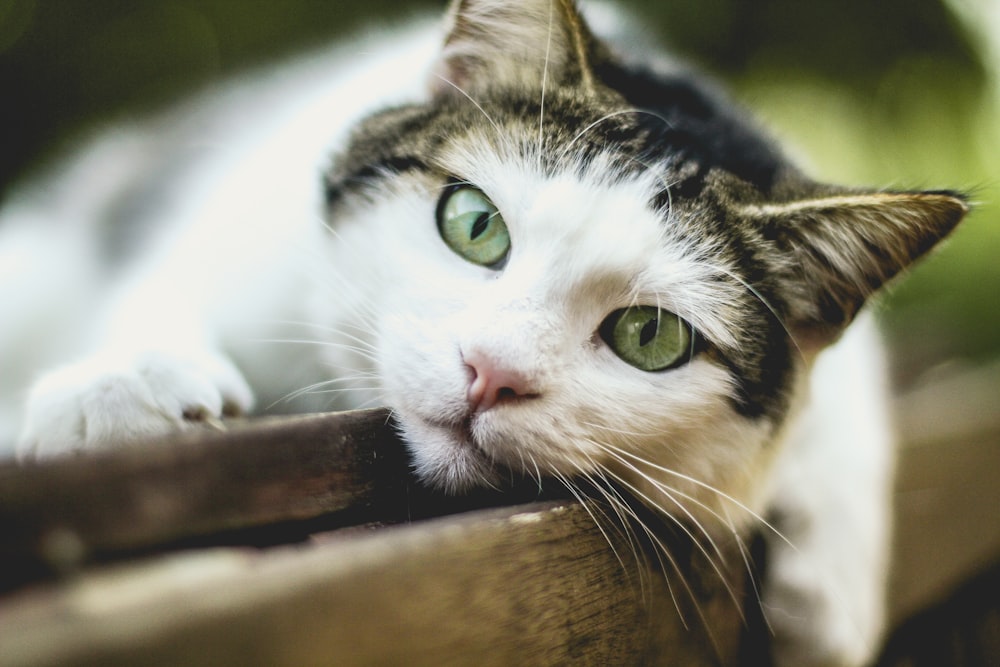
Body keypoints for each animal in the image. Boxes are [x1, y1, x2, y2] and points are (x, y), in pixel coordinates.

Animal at [1, 1, 968, 667]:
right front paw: (118, 383)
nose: (490, 371)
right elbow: (164, 283)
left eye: (650, 336)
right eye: (473, 224)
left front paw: (832, 592)